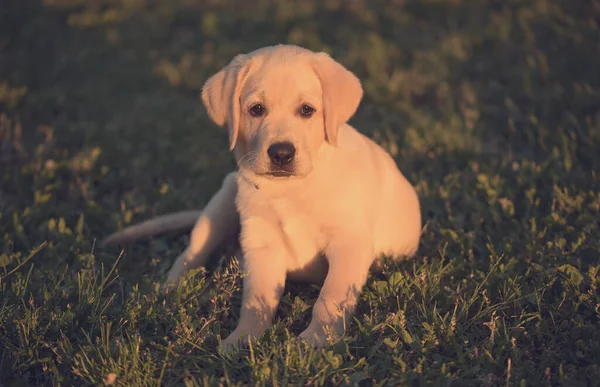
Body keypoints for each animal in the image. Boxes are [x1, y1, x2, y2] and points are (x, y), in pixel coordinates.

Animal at [103, 44, 422, 352]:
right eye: (256, 109)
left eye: (307, 110)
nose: (281, 153)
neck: (290, 188)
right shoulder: (262, 244)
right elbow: (255, 301)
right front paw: (242, 338)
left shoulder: (349, 243)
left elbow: (330, 297)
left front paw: (317, 337)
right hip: (222, 202)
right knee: (192, 253)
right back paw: (170, 288)